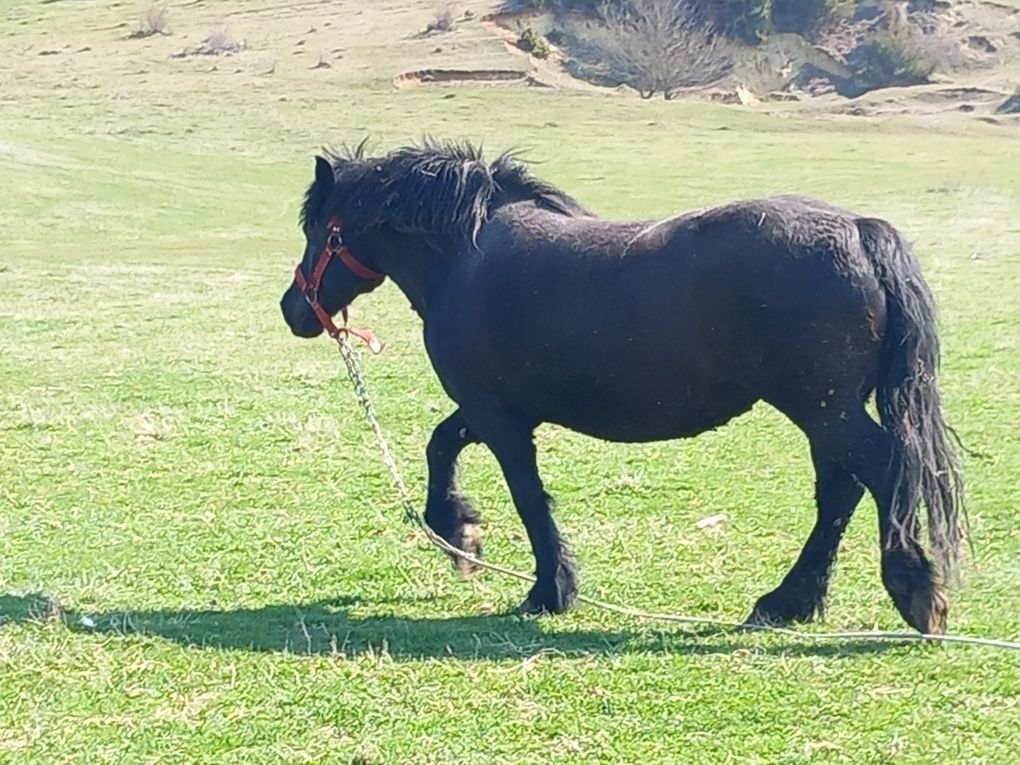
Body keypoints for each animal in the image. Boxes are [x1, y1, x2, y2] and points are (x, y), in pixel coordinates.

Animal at [279, 142, 962, 636]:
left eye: (319, 231)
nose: (293, 310)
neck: (463, 260)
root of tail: (858, 229)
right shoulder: (499, 410)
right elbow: (442, 444)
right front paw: (461, 534)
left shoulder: (498, 417)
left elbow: (526, 497)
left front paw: (546, 588)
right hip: (828, 412)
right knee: (841, 493)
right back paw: (789, 601)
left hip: (825, 410)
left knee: (885, 471)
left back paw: (913, 590)